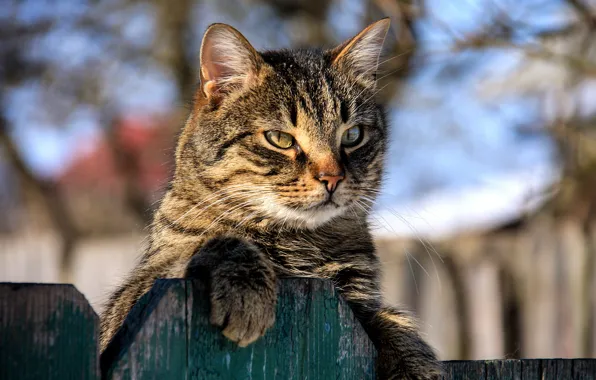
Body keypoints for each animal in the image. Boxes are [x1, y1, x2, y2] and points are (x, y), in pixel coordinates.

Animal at [99, 18, 442, 380]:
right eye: (279, 138)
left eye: (352, 135)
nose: (332, 178)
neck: (298, 241)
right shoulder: (133, 299)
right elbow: (218, 244)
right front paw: (245, 286)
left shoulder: (358, 297)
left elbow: (390, 319)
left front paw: (414, 359)